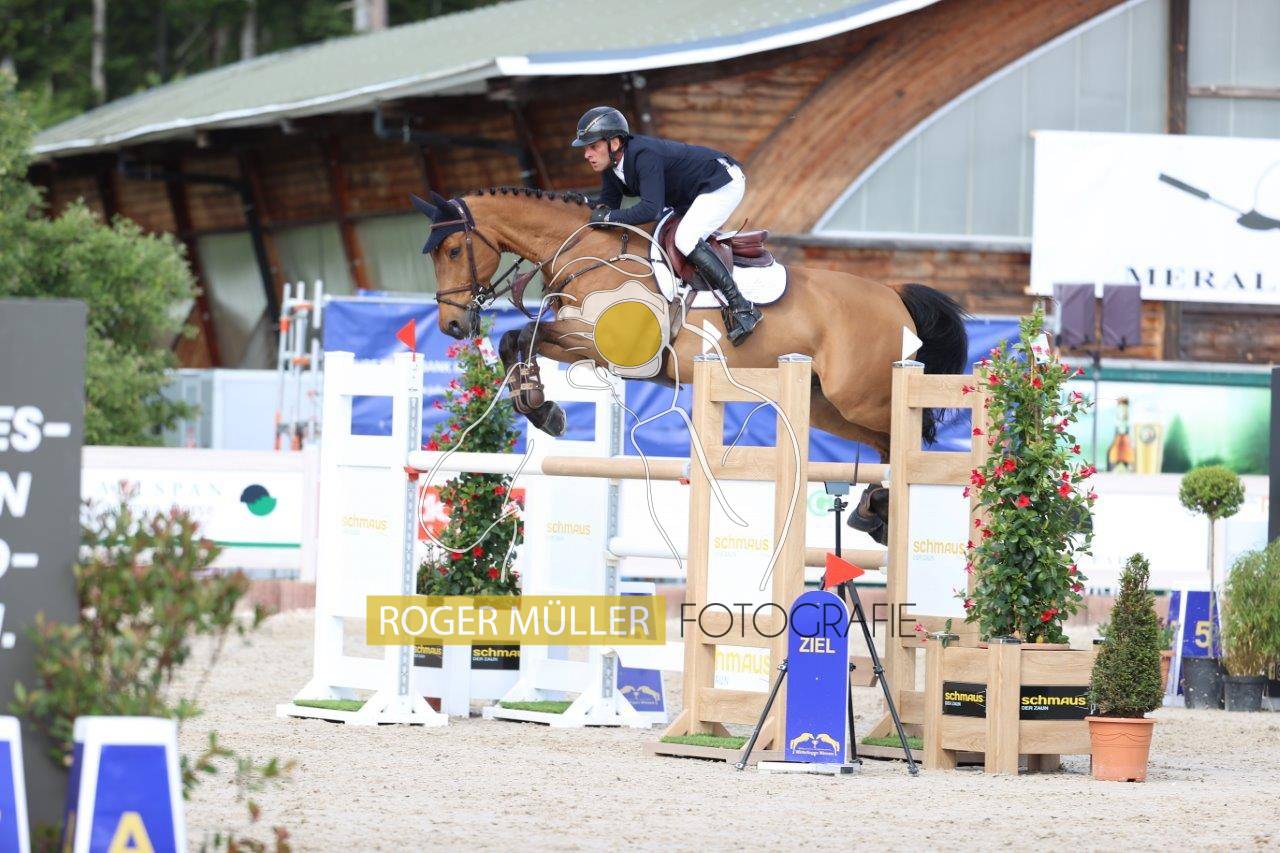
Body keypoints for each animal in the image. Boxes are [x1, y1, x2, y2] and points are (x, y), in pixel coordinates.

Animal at [411, 187, 968, 532]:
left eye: (453, 251)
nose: (452, 327)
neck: (587, 253)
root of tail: (894, 296)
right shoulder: (582, 343)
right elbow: (517, 340)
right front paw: (540, 407)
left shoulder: (602, 345)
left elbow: (522, 333)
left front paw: (543, 409)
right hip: (829, 404)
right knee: (885, 445)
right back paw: (874, 511)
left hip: (859, 396)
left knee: (909, 437)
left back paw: (886, 506)